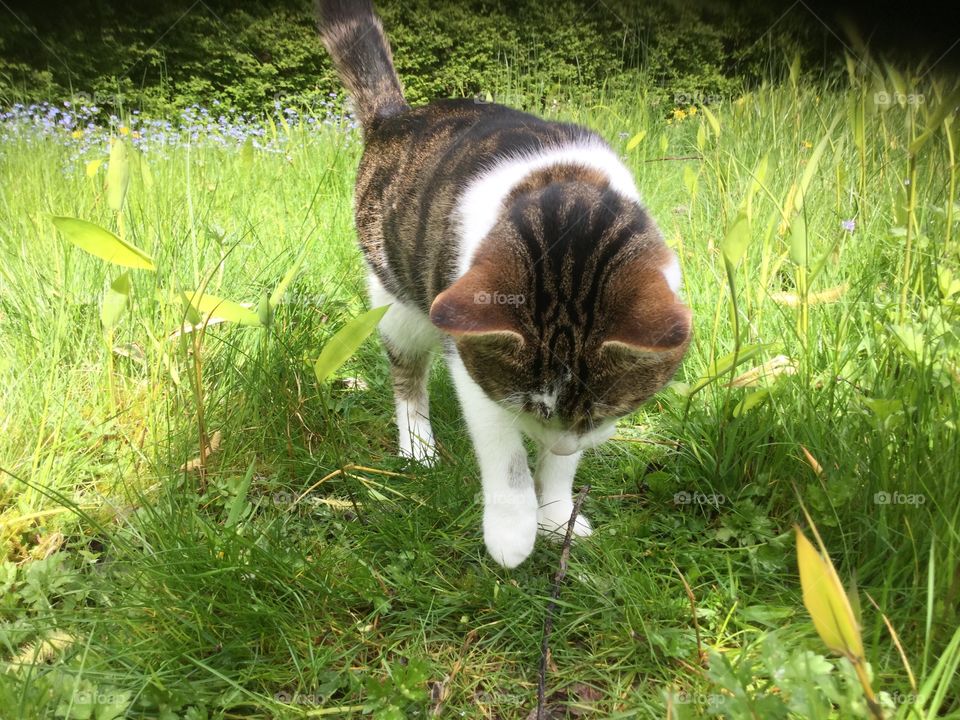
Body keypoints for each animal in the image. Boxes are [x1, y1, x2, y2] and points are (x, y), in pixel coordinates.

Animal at [316, 0, 688, 568]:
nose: (560, 445)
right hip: (396, 297)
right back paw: (417, 445)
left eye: (606, 412)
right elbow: (503, 449)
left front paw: (556, 515)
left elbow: (561, 469)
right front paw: (513, 533)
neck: (565, 195)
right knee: (407, 373)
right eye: (530, 406)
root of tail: (396, 118)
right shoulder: (471, 357)